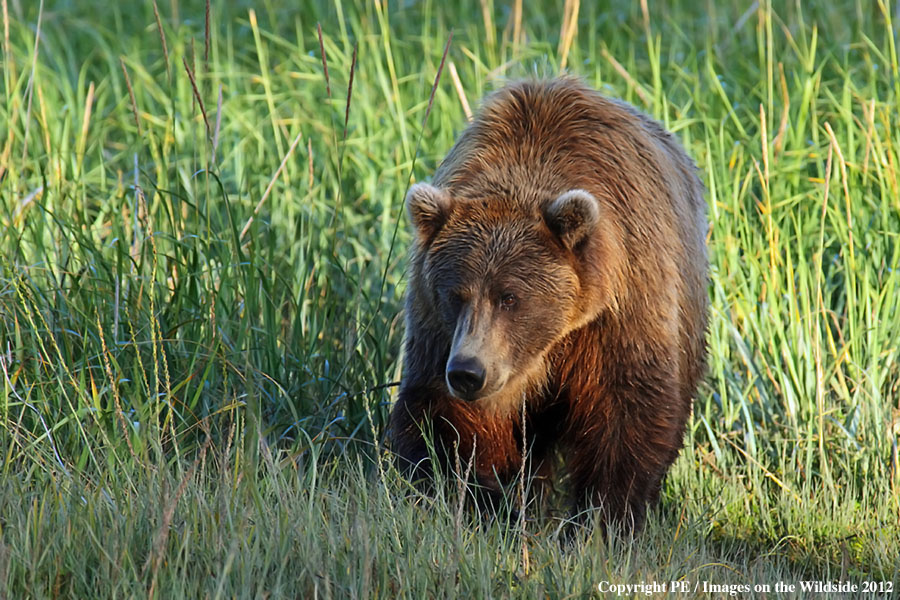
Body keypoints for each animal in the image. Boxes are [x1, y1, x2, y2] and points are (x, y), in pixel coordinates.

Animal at [392, 76, 712, 528]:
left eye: (510, 297)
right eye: (455, 294)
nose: (468, 372)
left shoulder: (621, 309)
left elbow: (628, 408)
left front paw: (602, 516)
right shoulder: (436, 327)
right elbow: (443, 416)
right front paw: (481, 502)